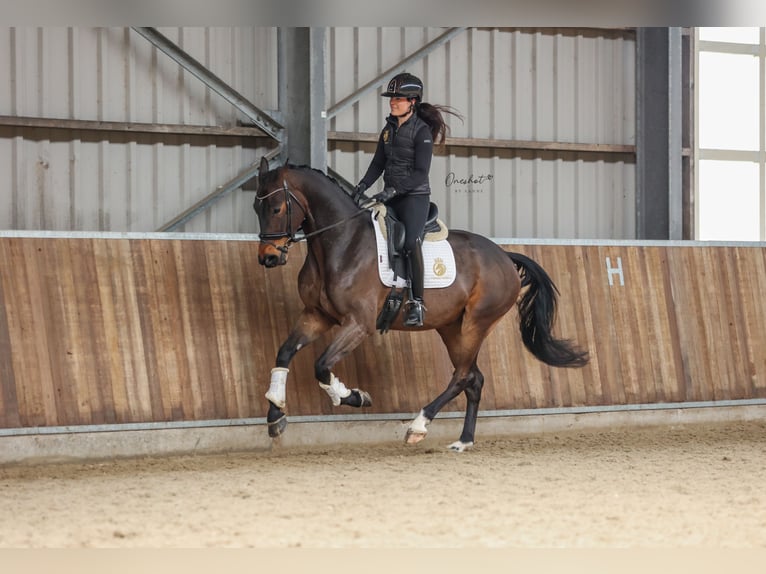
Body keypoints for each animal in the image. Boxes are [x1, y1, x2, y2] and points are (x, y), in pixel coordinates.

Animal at [255, 158, 592, 454]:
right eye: (256, 208)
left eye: (276, 208)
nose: (268, 258)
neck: (342, 243)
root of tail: (504, 256)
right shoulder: (317, 315)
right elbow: (284, 352)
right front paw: (275, 414)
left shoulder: (359, 323)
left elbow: (322, 366)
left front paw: (356, 396)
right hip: (451, 328)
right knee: (474, 379)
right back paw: (463, 441)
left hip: (477, 323)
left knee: (462, 376)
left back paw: (418, 425)